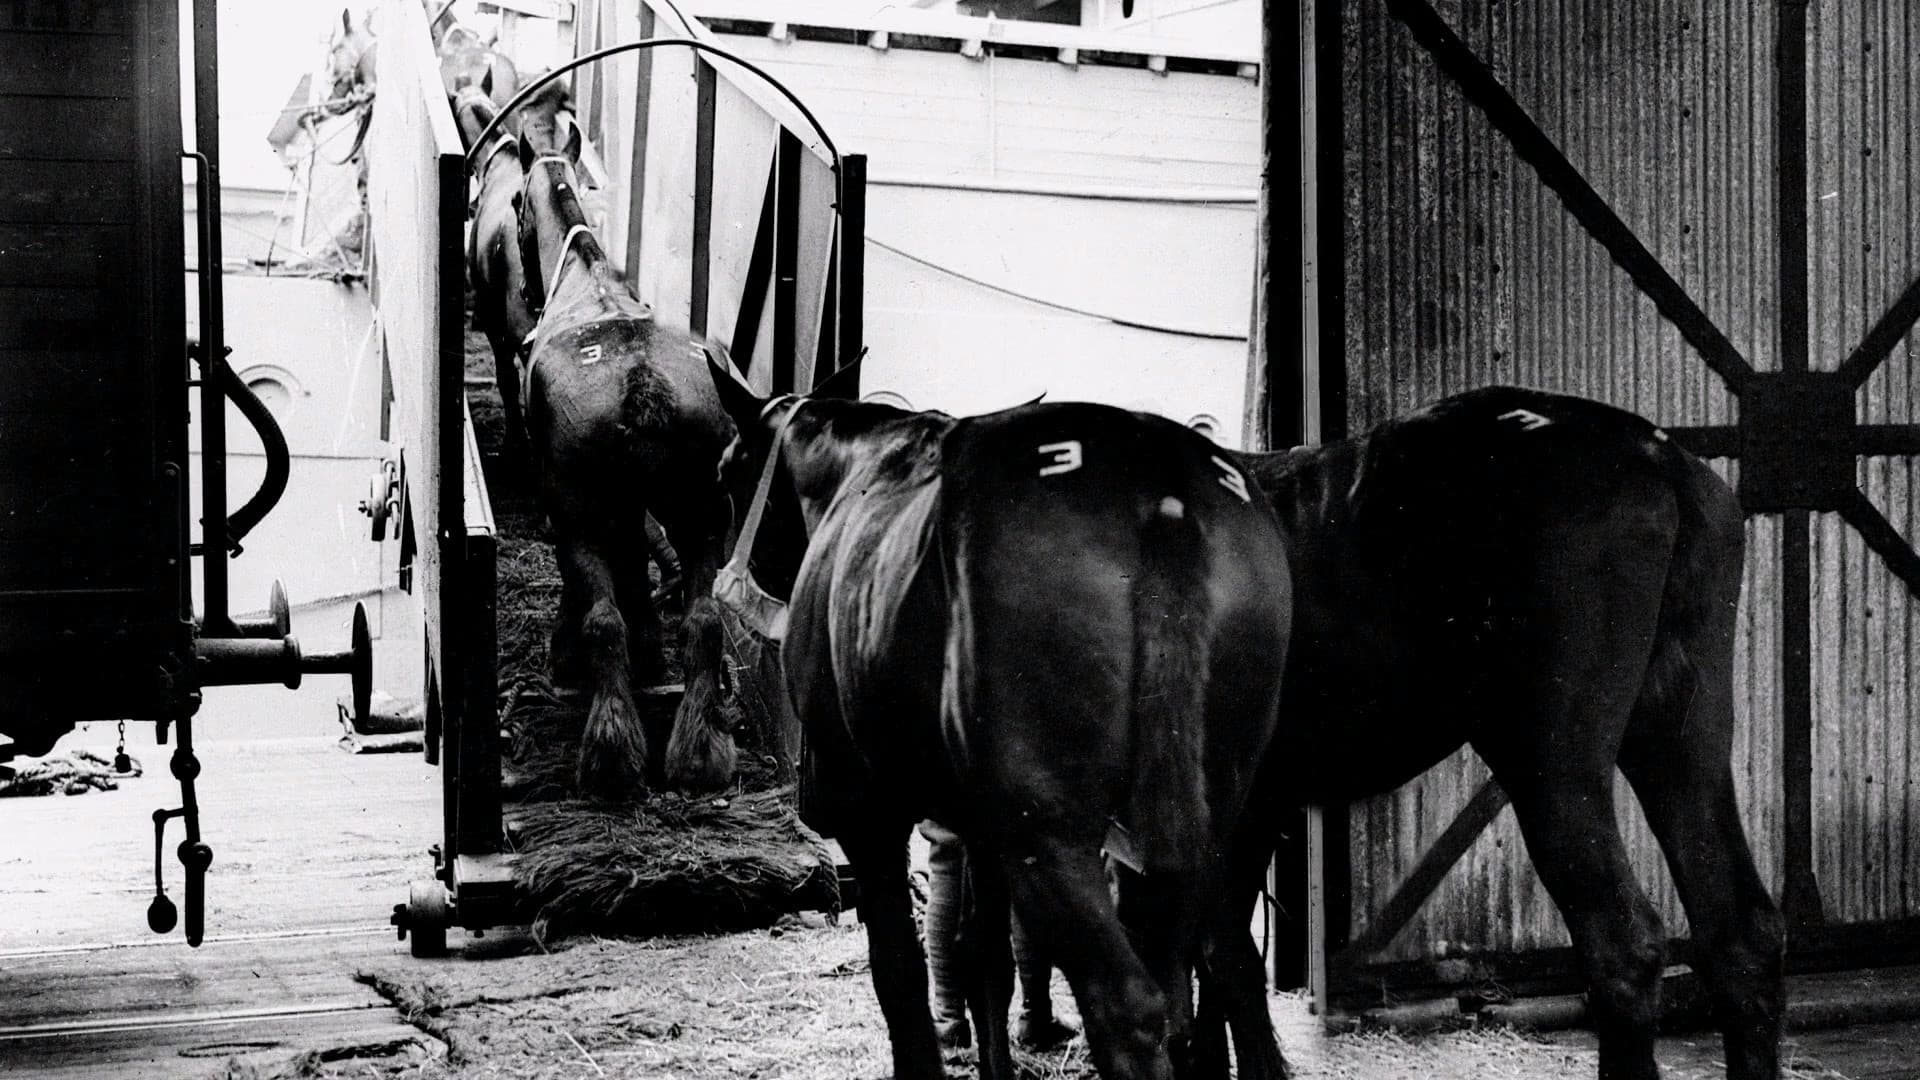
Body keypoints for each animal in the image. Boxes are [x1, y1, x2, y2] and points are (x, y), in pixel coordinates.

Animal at [514, 97, 738, 798]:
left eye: (516, 204)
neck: (586, 276)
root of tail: (642, 377)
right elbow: (639, 561)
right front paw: (650, 651)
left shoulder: (568, 498)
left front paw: (569, 656)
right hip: (703, 509)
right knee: (704, 618)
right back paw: (700, 750)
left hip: (581, 507)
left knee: (601, 618)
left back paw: (610, 753)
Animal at [704, 363, 1293, 1080]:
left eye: (726, 473)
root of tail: (1160, 491)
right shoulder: (980, 826)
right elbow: (985, 959)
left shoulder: (866, 815)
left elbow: (897, 972)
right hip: (1213, 816)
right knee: (1225, 970)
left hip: (1051, 833)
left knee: (1128, 1005)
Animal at [1193, 386, 1782, 1080]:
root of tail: (1656, 456)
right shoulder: (1251, 809)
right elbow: (1218, 956)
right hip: (1683, 730)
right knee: (1741, 932)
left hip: (1550, 760)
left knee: (1623, 941)